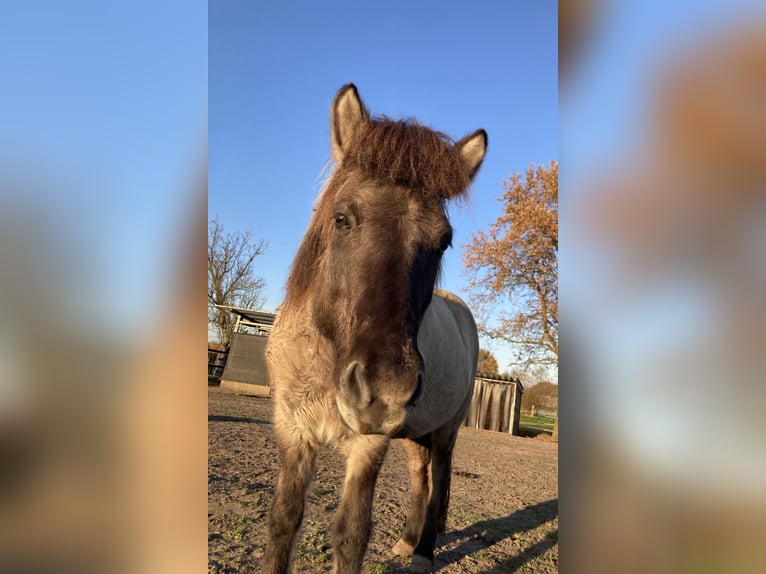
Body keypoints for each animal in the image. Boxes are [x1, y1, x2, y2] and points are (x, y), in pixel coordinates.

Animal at [263, 83, 486, 574]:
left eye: (444, 241)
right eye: (342, 218)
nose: (384, 392)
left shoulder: (369, 445)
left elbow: (351, 534)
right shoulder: (292, 431)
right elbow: (284, 521)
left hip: (445, 430)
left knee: (438, 474)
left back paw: (423, 552)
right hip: (413, 432)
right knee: (421, 476)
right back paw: (407, 540)